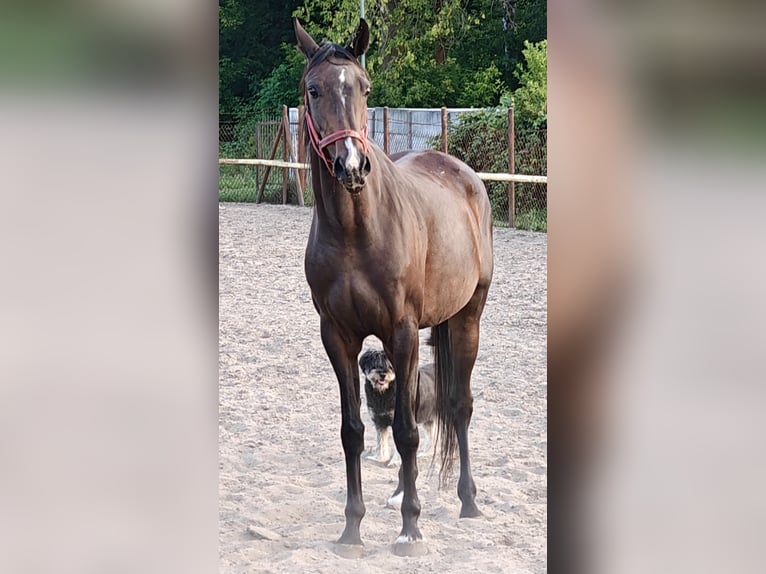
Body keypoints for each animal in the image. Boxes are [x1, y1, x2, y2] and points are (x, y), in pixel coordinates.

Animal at [294, 18, 494, 557]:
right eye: (314, 89)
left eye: (363, 88)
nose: (350, 166)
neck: (355, 232)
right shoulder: (338, 337)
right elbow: (353, 431)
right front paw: (352, 529)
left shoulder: (401, 334)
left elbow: (406, 432)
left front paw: (410, 529)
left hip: (467, 317)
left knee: (458, 406)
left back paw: (468, 501)